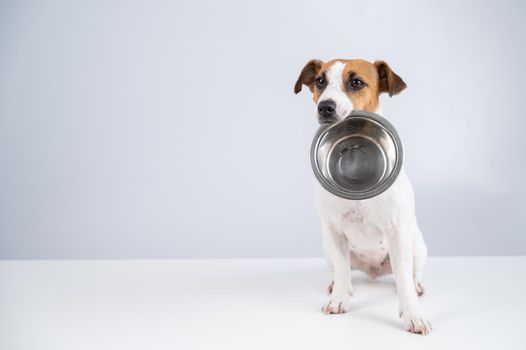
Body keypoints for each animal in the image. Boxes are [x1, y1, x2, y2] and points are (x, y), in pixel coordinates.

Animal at [294, 58, 432, 334]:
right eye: (320, 81)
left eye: (356, 82)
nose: (325, 107)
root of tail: (372, 272)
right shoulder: (334, 232)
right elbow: (342, 270)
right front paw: (339, 298)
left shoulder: (397, 233)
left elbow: (403, 280)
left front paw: (413, 314)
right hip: (328, 249)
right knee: (342, 271)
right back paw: (337, 286)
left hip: (417, 247)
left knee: (411, 275)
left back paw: (417, 286)